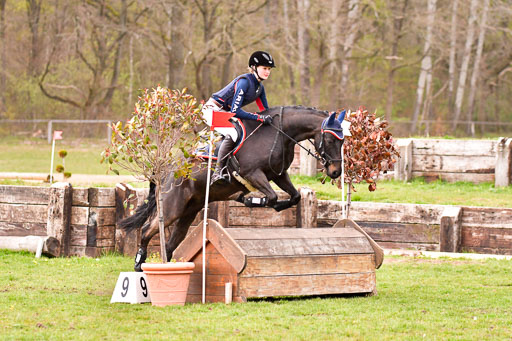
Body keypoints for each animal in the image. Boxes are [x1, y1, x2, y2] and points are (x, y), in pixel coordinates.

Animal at [120, 105, 346, 270]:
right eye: (329, 139)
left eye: (343, 141)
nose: (336, 172)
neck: (279, 134)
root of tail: (165, 168)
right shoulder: (253, 173)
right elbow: (272, 197)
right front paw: (250, 200)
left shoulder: (278, 175)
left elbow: (295, 196)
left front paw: (269, 204)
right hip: (172, 206)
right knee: (147, 229)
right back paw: (139, 263)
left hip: (190, 210)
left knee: (171, 242)